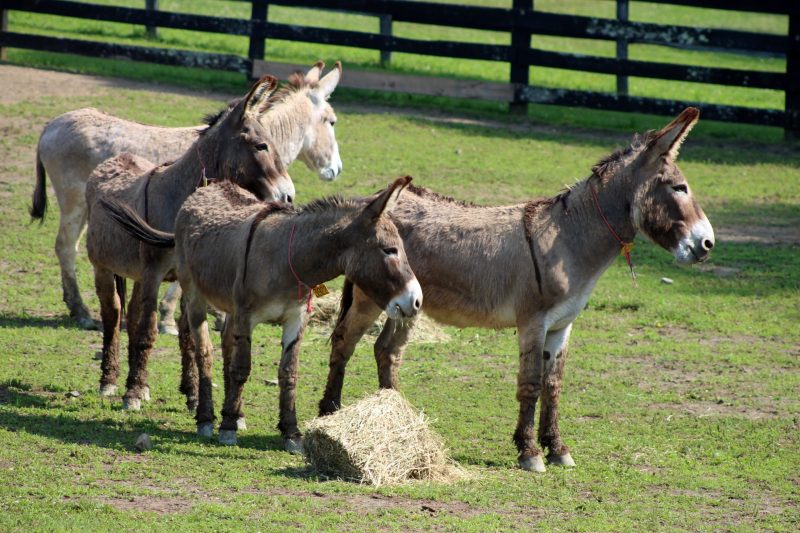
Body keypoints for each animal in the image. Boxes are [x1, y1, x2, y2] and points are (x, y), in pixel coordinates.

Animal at [30, 61, 343, 331]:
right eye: (331, 121)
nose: (336, 170)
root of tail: (51, 124)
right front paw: (171, 317)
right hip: (74, 203)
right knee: (66, 247)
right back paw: (81, 311)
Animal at [86, 75, 290, 411]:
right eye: (261, 145)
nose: (288, 196)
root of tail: (115, 158)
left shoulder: (184, 277)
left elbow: (186, 334)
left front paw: (192, 395)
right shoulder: (154, 272)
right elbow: (148, 331)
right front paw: (133, 394)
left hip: (136, 273)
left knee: (132, 312)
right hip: (102, 266)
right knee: (113, 313)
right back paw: (110, 380)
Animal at [101, 177, 422, 452]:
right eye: (389, 250)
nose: (417, 300)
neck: (289, 259)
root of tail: (206, 188)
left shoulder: (295, 319)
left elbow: (288, 372)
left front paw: (291, 433)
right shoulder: (247, 315)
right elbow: (242, 367)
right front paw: (227, 428)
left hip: (229, 306)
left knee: (226, 346)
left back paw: (236, 412)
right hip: (195, 296)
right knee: (204, 352)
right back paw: (206, 418)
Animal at [317, 108, 715, 472]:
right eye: (679, 188)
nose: (707, 243)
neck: (570, 239)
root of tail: (375, 204)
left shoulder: (562, 325)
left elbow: (554, 386)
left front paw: (557, 448)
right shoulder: (533, 322)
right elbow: (531, 384)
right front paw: (529, 452)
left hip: (406, 303)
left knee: (387, 351)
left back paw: (400, 417)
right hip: (370, 296)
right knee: (344, 341)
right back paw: (330, 413)